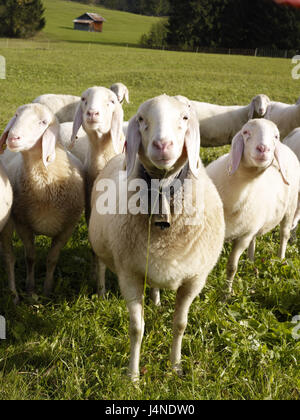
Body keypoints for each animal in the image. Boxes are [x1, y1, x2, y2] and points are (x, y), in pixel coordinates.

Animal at [0, 103, 85, 296]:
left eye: (43, 122)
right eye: (16, 115)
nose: (13, 137)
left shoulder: (67, 228)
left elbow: (52, 259)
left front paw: (47, 289)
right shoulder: (22, 223)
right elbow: (30, 257)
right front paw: (30, 288)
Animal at [88, 95, 225, 380]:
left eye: (185, 117)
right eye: (141, 119)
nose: (163, 145)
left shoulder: (195, 279)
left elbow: (180, 324)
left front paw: (175, 367)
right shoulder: (129, 274)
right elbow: (136, 329)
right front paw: (133, 376)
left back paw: (157, 300)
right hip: (102, 245)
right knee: (101, 265)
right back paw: (102, 291)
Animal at [206, 118, 300, 296]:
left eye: (275, 136)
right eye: (245, 132)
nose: (264, 149)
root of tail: (286, 148)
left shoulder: (243, 236)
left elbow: (231, 267)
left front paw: (225, 295)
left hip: (290, 208)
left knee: (284, 235)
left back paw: (280, 259)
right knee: (255, 239)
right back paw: (250, 261)